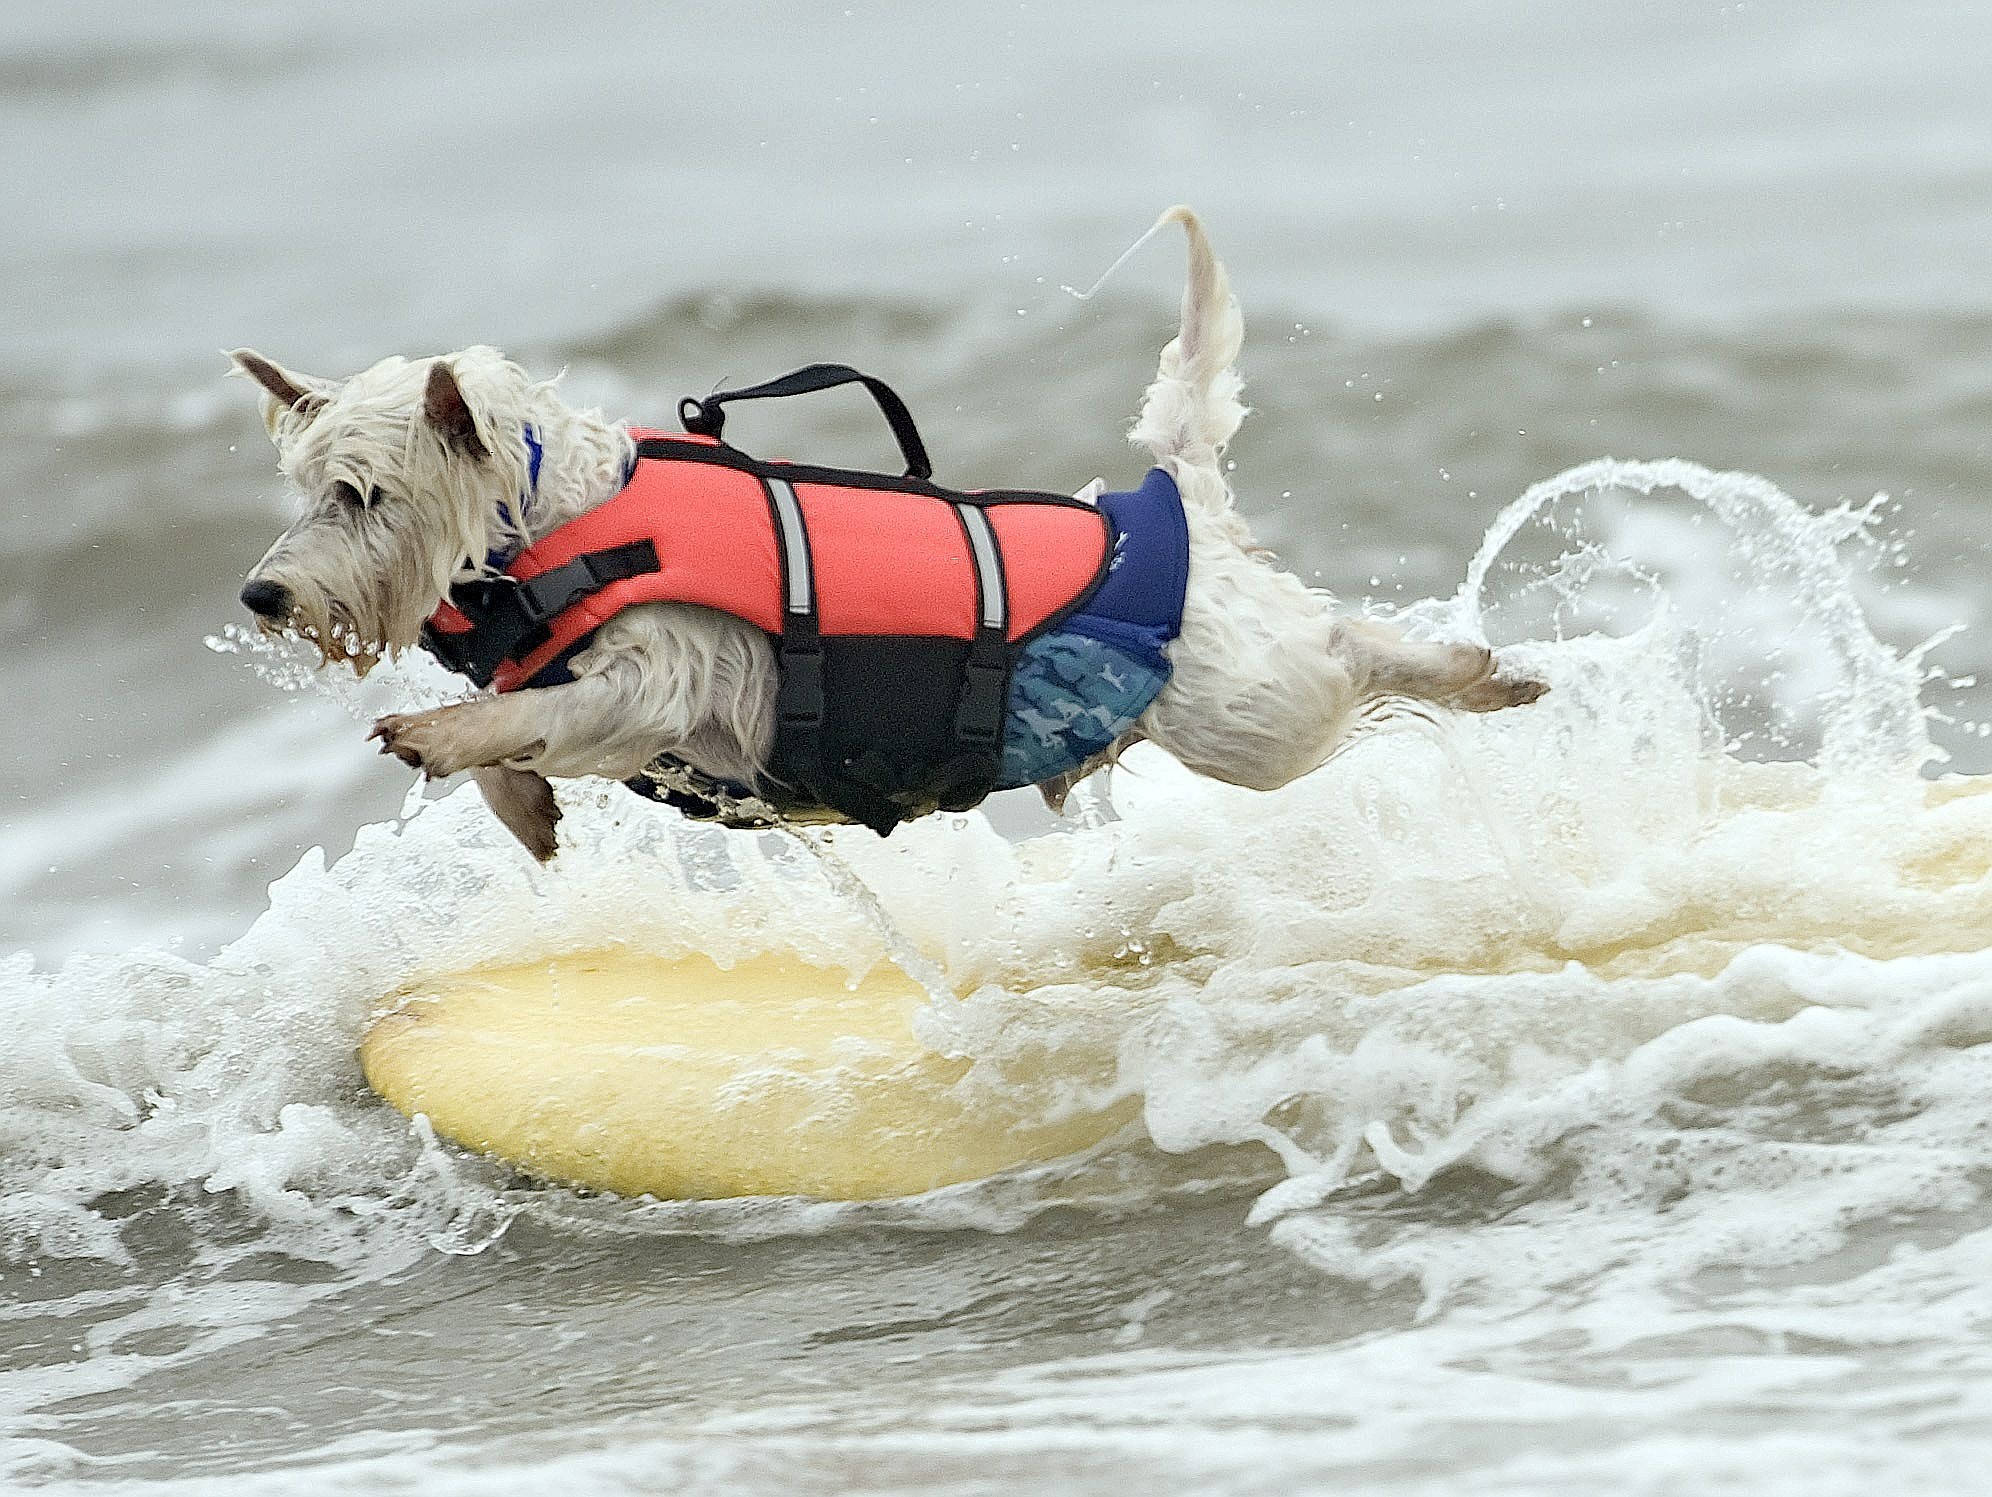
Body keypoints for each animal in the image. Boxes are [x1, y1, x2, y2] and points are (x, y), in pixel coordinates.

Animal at [229, 214, 1537, 859]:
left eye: (360, 494)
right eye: (302, 489)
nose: (262, 597)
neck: (564, 518)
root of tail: (1170, 503)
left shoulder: (664, 681)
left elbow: (535, 712)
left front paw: (443, 734)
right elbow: (519, 737)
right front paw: (517, 806)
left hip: (1238, 713)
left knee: (1341, 660)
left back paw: (1476, 669)